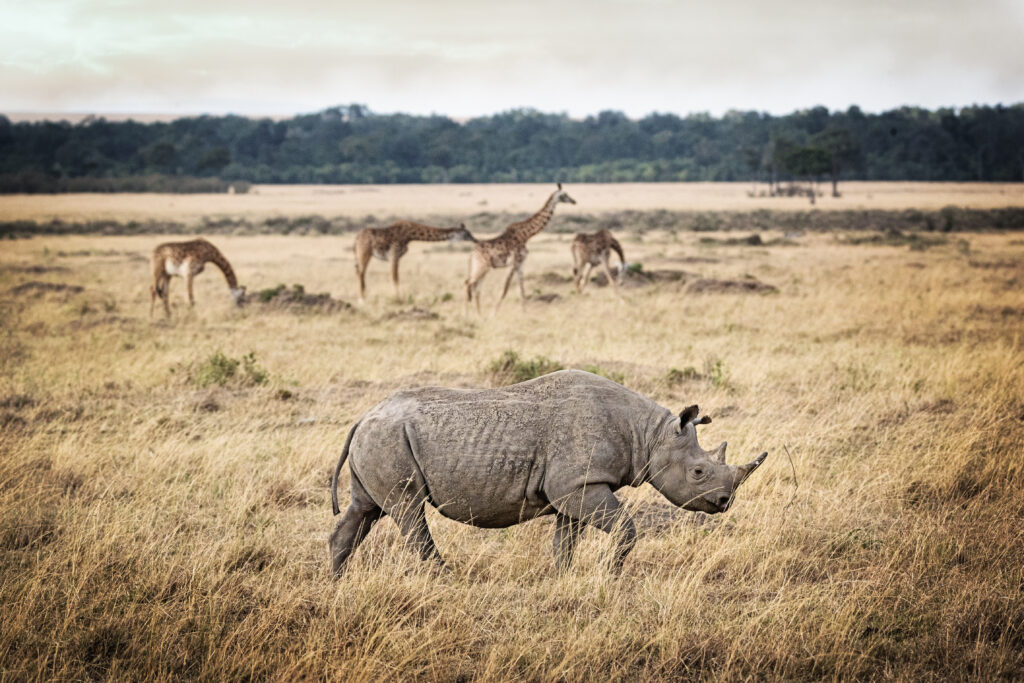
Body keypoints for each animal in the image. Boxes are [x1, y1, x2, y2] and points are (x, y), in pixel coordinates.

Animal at [329, 369, 767, 574]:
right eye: (698, 473)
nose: (724, 502)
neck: (650, 435)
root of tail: (364, 416)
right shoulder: (578, 485)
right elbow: (626, 529)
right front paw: (610, 575)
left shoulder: (573, 487)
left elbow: (564, 543)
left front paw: (563, 580)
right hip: (388, 440)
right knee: (408, 510)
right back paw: (446, 579)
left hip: (378, 440)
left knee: (365, 510)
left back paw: (335, 583)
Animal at [465, 184, 577, 313]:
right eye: (564, 195)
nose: (574, 201)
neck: (526, 235)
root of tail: (471, 254)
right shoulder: (513, 263)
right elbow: (505, 288)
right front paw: (493, 313)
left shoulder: (521, 263)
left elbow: (521, 289)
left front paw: (525, 312)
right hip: (481, 266)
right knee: (468, 283)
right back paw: (467, 314)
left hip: (482, 268)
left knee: (476, 288)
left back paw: (479, 314)